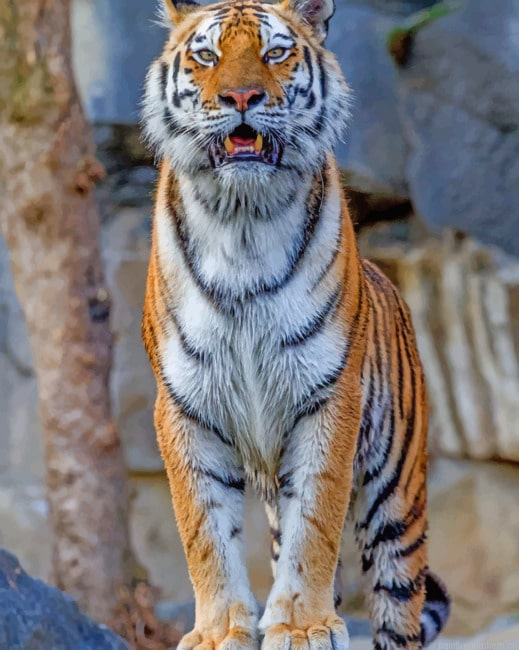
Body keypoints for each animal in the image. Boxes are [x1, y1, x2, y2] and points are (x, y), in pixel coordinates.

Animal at [141, 0, 450, 648]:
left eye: (275, 52)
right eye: (206, 55)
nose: (241, 97)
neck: (241, 222)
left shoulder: (329, 393)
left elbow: (318, 518)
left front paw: (304, 625)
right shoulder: (182, 403)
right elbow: (203, 530)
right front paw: (219, 631)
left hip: (397, 500)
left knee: (398, 605)